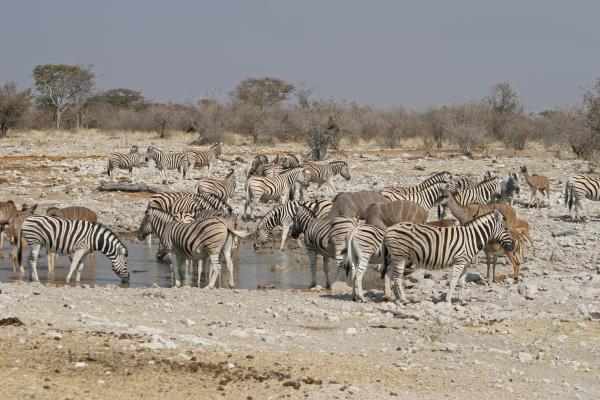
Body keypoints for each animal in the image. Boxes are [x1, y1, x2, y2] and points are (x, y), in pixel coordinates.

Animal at [382, 211, 512, 304]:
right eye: (506, 228)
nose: (514, 245)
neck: (471, 239)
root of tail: (388, 229)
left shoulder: (465, 264)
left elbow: (461, 282)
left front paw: (462, 301)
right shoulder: (459, 261)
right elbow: (453, 281)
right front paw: (448, 300)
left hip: (395, 257)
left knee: (388, 275)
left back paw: (390, 297)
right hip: (400, 256)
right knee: (397, 278)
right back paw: (403, 299)